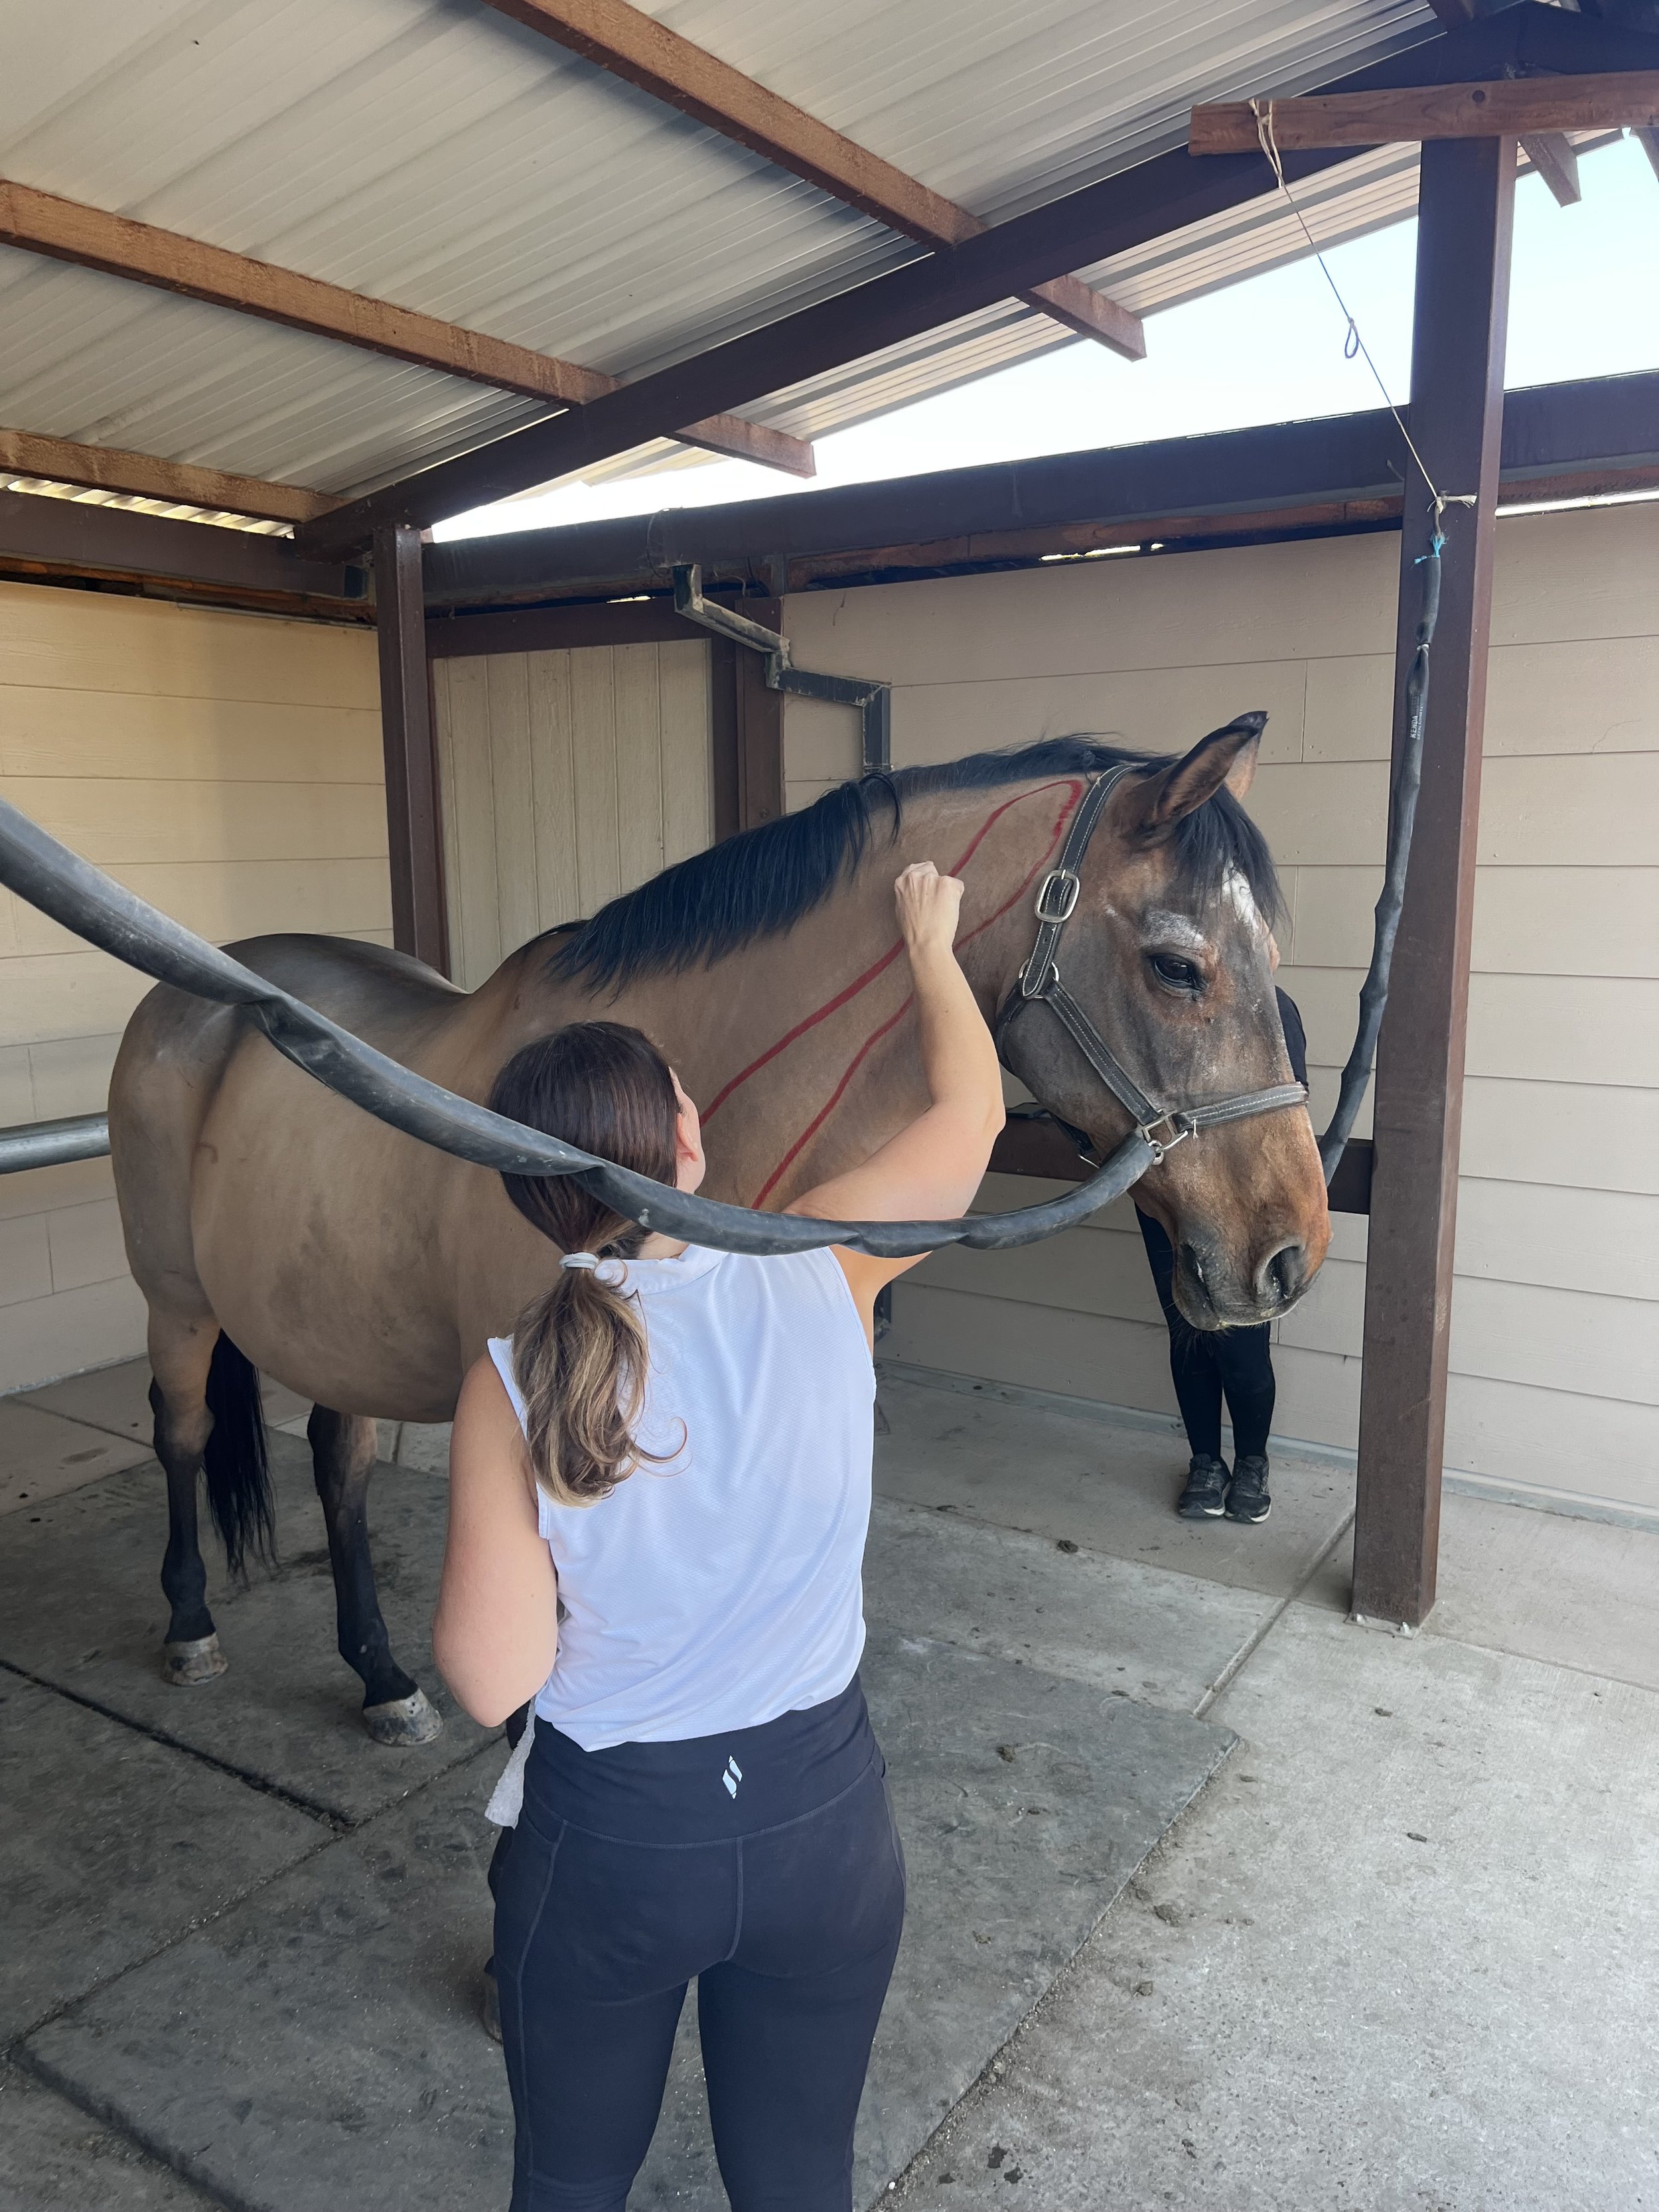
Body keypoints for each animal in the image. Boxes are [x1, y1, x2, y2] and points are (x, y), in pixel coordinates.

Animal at [109, 717, 1330, 1744]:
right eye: (1177, 965)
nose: (1289, 1254)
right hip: (178, 1306)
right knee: (181, 1430)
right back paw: (190, 1627)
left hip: (335, 1321)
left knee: (339, 1462)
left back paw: (381, 1678)